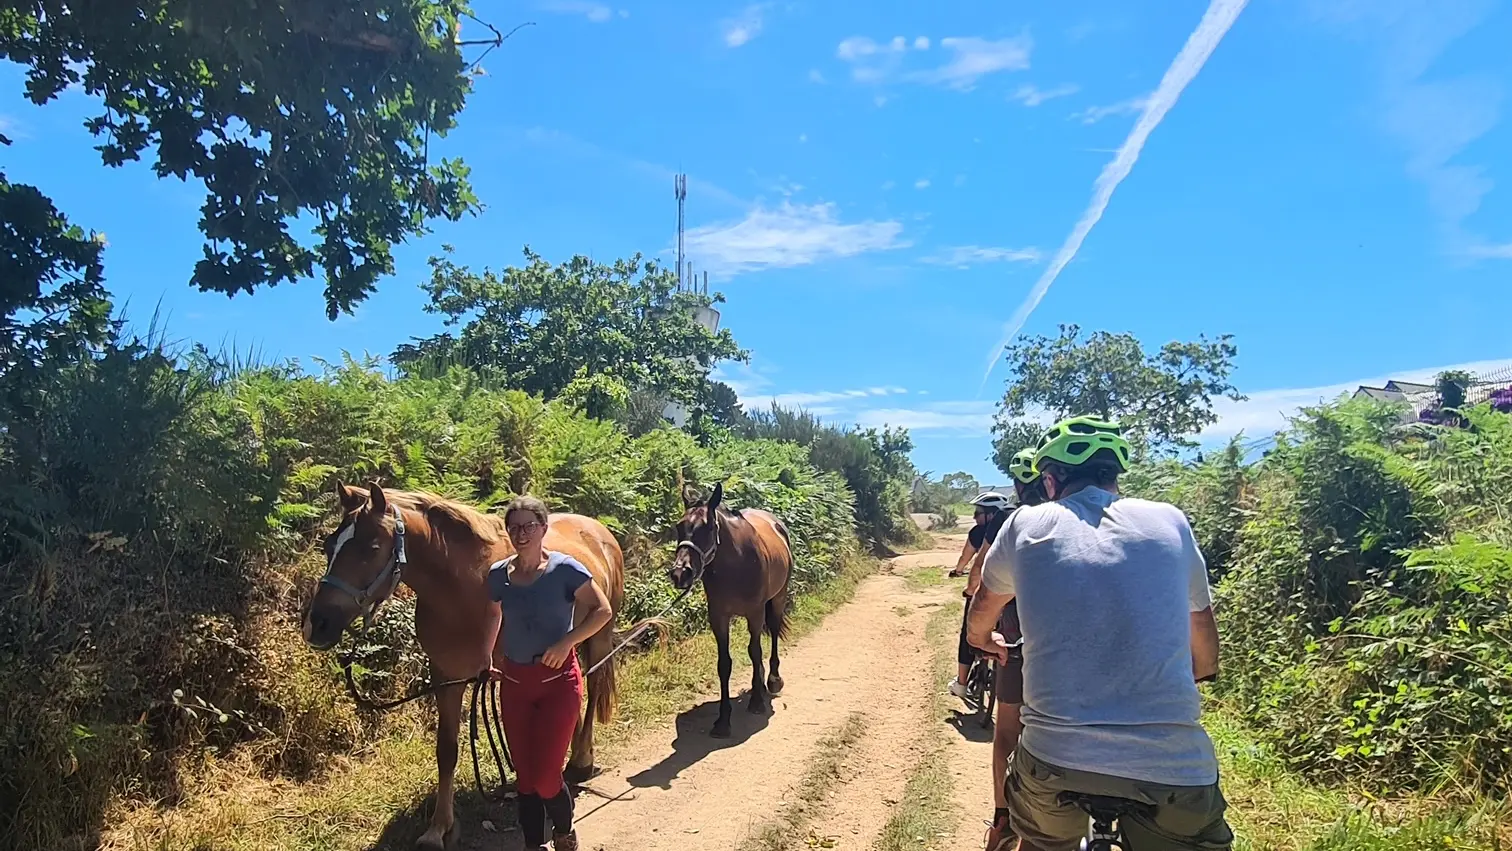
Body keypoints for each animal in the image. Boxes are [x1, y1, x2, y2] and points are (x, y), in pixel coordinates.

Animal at [303, 486, 622, 851]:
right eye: (330, 545)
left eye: (371, 548)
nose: (317, 624)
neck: (463, 589)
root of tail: (599, 531)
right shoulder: (447, 677)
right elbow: (448, 750)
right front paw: (439, 829)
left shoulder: (503, 677)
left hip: (599, 635)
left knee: (593, 688)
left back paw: (581, 761)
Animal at [668, 486, 798, 740]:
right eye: (679, 526)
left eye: (708, 527)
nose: (680, 573)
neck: (736, 564)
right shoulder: (719, 617)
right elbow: (724, 664)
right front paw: (723, 720)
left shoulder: (755, 613)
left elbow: (755, 652)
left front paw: (757, 701)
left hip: (777, 599)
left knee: (773, 632)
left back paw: (773, 680)